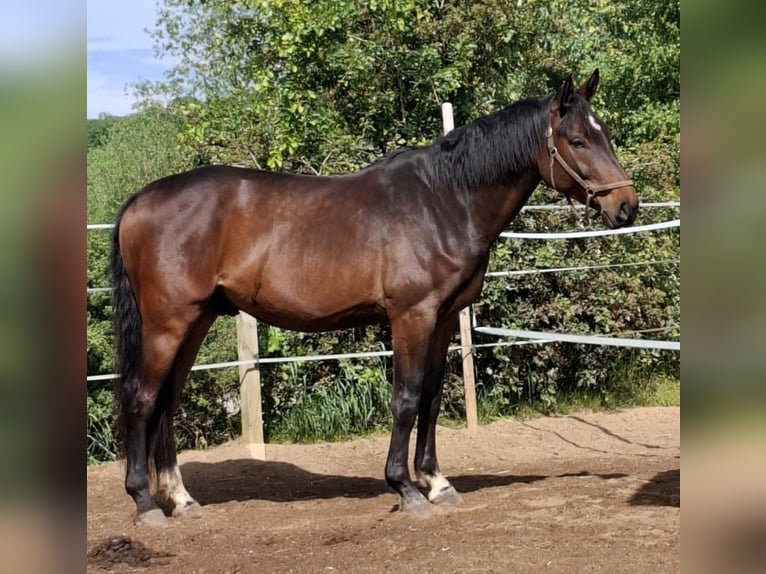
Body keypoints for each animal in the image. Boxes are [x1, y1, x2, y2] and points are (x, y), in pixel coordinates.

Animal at [111, 69, 638, 526]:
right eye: (578, 141)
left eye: (606, 133)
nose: (626, 206)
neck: (444, 200)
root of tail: (140, 200)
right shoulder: (411, 316)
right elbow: (405, 397)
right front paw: (405, 488)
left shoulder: (442, 319)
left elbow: (430, 397)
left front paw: (437, 482)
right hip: (168, 324)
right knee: (142, 397)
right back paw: (145, 502)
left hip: (196, 321)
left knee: (167, 400)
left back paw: (181, 498)